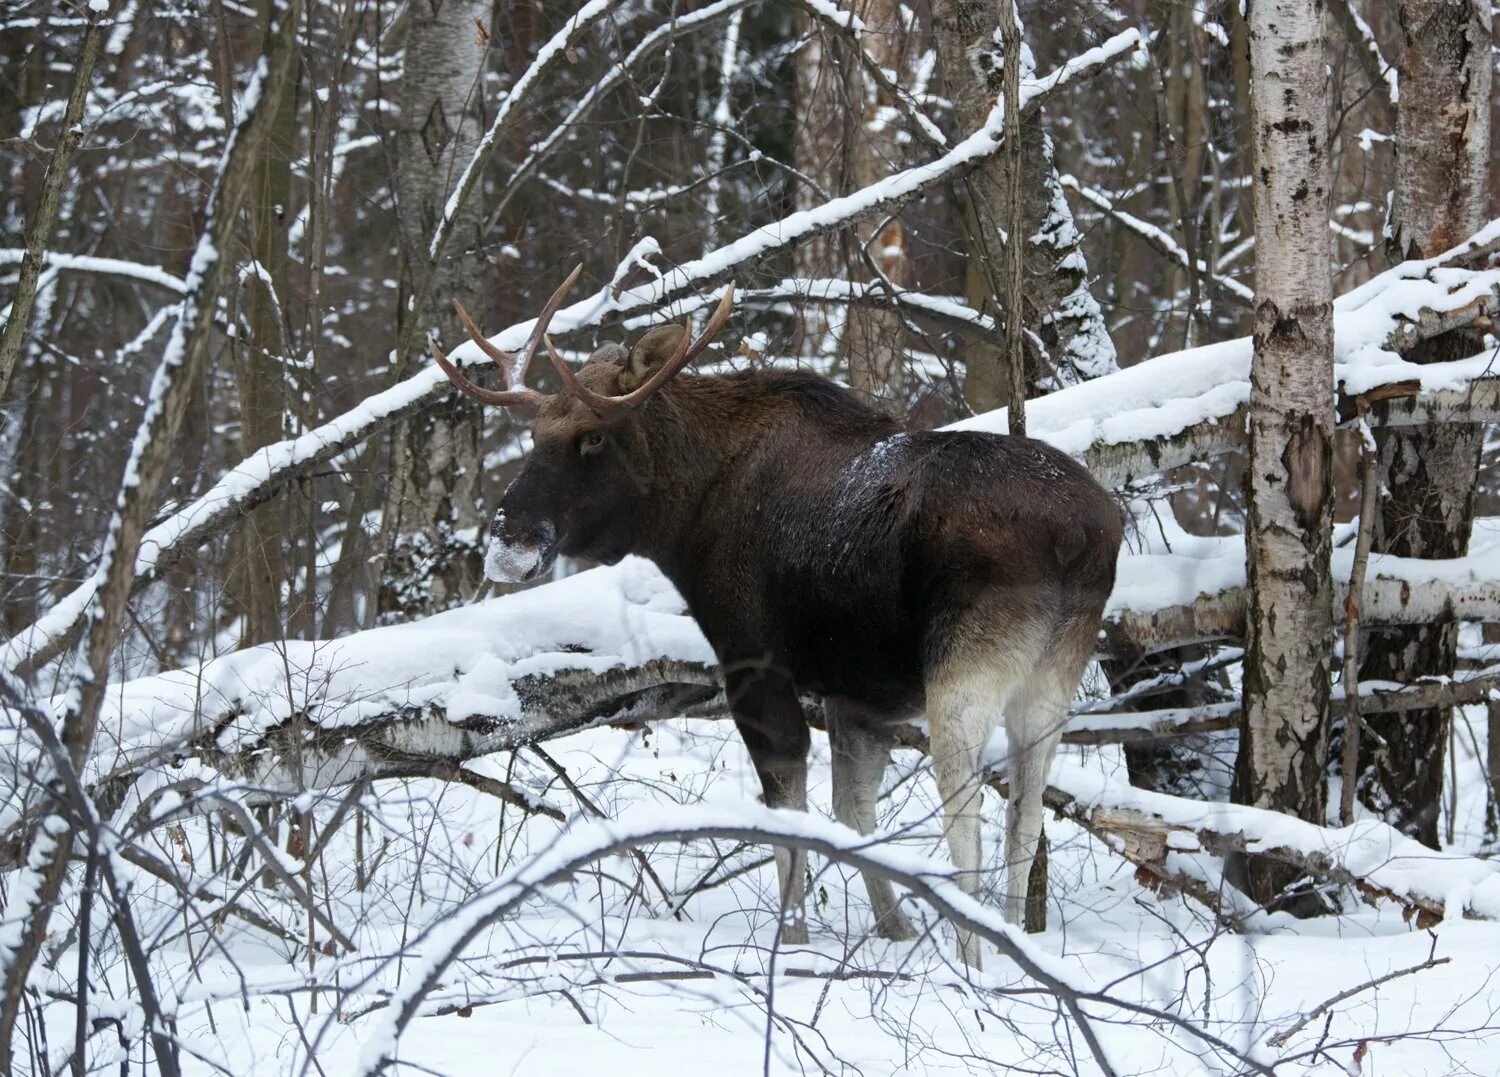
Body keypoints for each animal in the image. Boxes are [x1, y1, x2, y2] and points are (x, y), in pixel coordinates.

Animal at [429, 271, 1122, 972]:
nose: (507, 542)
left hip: (964, 669)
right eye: (535, 434)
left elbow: (788, 815)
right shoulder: (858, 695)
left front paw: (792, 945)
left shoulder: (752, 663)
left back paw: (974, 967)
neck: (685, 519)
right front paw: (894, 932)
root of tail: (1079, 537)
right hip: (1053, 674)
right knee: (1025, 816)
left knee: (967, 818)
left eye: (593, 436)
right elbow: (852, 812)